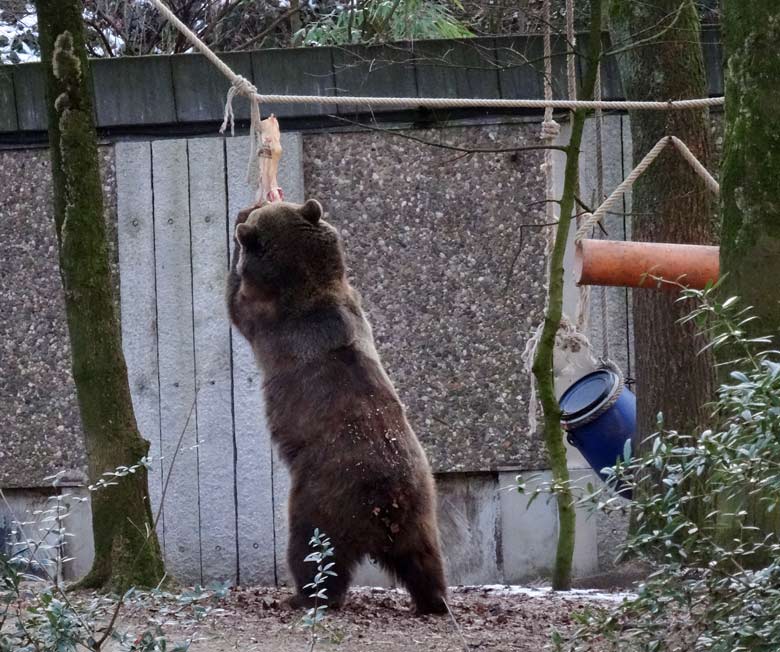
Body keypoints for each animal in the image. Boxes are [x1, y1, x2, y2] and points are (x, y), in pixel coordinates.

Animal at [225, 200, 448, 616]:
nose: (257, 206)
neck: (309, 282)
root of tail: (387, 503)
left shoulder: (268, 318)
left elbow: (234, 302)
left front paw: (240, 222)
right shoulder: (353, 303)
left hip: (323, 496)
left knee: (311, 550)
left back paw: (302, 597)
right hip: (423, 501)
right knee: (424, 559)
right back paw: (434, 601)